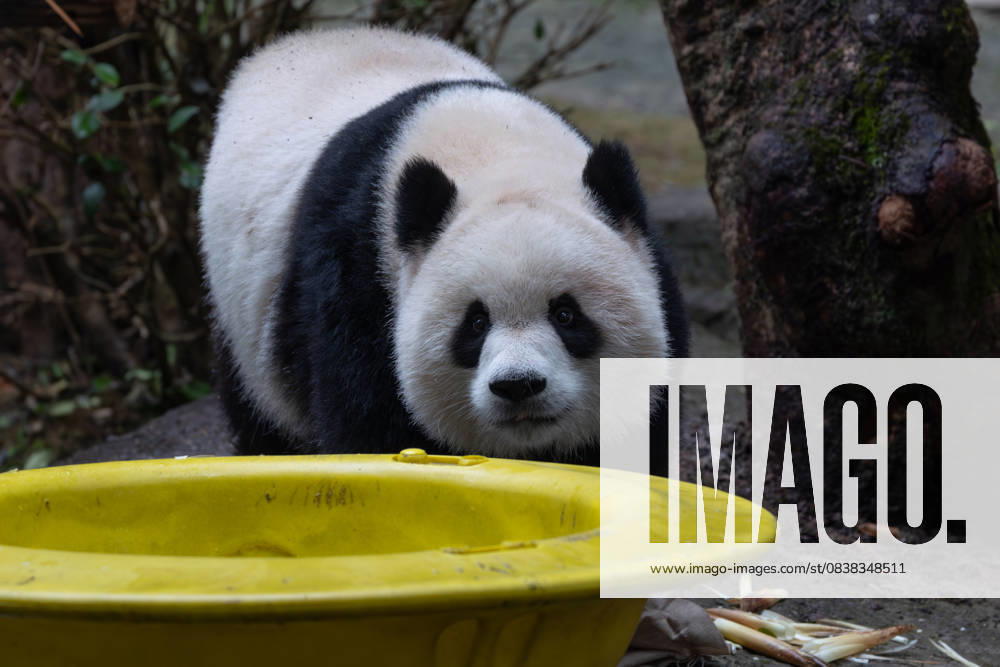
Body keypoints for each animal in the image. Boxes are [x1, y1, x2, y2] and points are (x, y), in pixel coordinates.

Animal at [199, 27, 688, 468]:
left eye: (566, 314)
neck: (496, 153)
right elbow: (368, 421)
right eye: (475, 322)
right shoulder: (358, 276)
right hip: (239, 316)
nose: (518, 385)